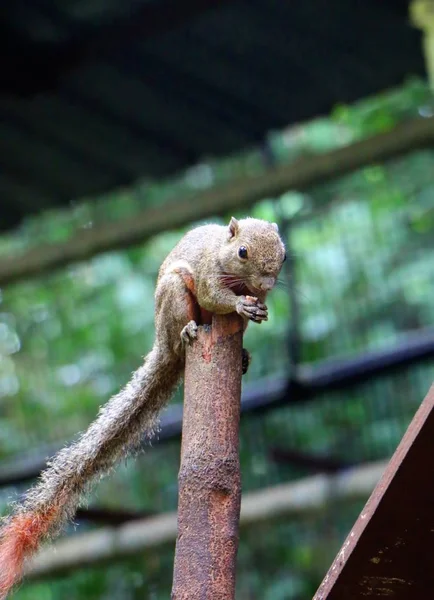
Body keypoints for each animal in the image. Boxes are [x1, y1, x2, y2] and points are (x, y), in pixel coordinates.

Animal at [0, 214, 284, 596]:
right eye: (242, 252)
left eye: (283, 254)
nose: (268, 281)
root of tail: (163, 349)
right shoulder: (208, 274)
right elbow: (215, 296)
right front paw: (240, 305)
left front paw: (258, 309)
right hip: (175, 298)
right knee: (184, 327)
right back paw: (189, 332)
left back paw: (242, 355)